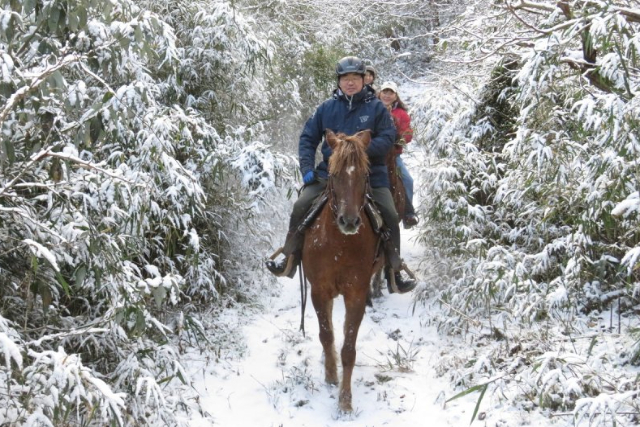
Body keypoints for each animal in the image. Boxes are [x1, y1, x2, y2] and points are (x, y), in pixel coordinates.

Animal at [301, 129, 385, 413]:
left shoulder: (355, 294)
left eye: (364, 176)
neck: (340, 243)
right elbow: (326, 335)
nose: (349, 222)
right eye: (334, 174)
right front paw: (330, 376)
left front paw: (345, 400)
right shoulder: (319, 291)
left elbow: (349, 348)